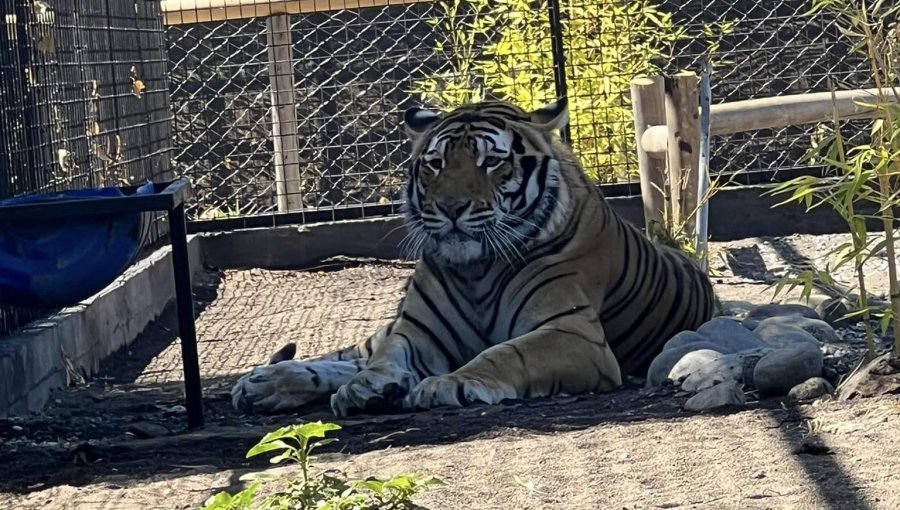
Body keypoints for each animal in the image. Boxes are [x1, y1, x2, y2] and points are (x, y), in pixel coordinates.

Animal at [232, 97, 716, 416]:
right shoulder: (415, 330)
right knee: (354, 352)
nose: (451, 207)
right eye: (435, 163)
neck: (477, 270)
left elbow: (506, 354)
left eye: (491, 162)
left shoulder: (573, 335)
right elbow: (385, 356)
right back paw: (263, 384)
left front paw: (452, 383)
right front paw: (367, 387)